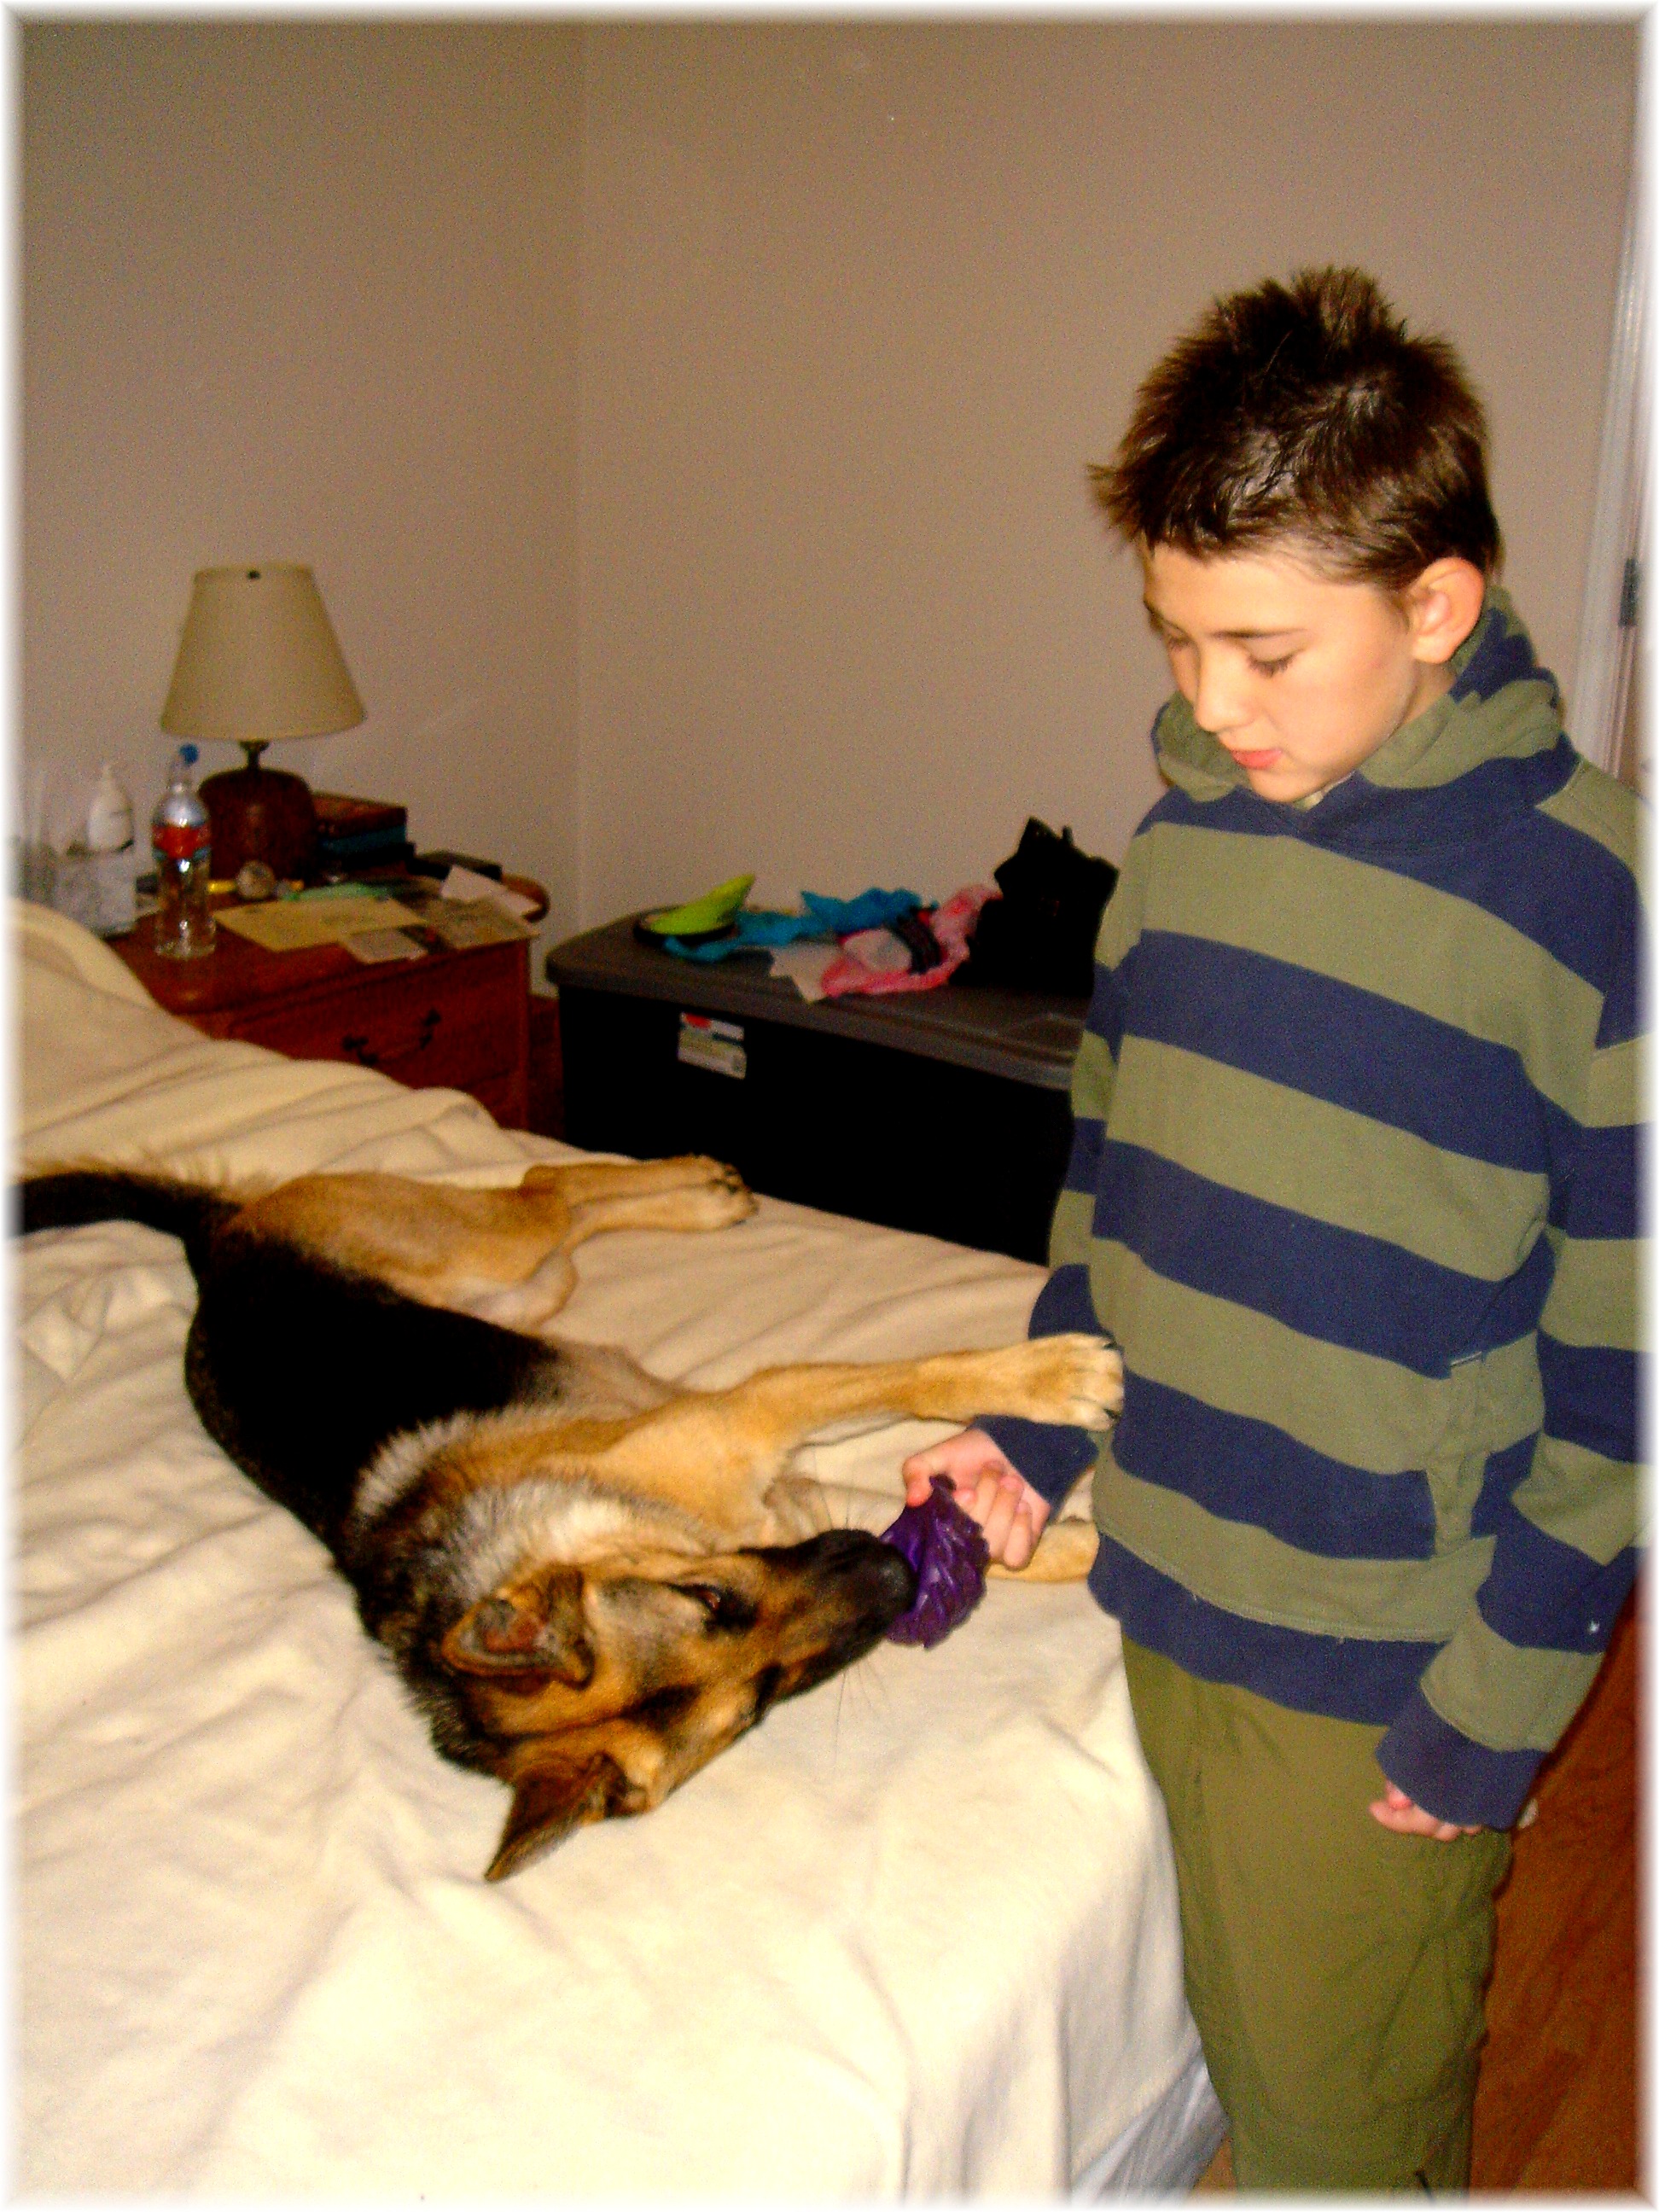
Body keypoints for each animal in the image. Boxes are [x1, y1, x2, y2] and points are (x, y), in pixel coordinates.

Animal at [19, 1156, 1120, 1879]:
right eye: (757, 1706)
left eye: (711, 1596)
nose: (892, 1583)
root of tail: (216, 1251)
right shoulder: (799, 1483)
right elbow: (991, 1527)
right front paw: (1087, 1543)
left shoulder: (766, 1409)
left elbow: (931, 1376)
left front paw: (1051, 1379)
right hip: (525, 1285)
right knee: (554, 1195)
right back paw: (703, 1198)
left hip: (495, 1257)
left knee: (546, 1182)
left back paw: (704, 1189)